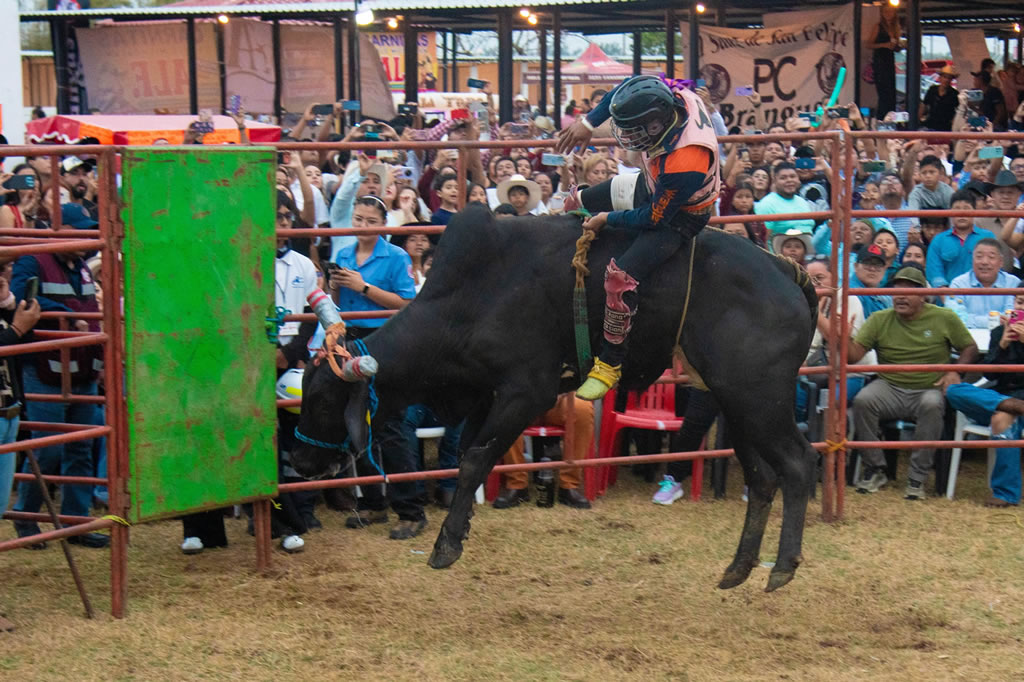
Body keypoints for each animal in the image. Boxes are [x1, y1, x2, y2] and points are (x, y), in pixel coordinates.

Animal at [293, 202, 819, 592]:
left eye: (322, 402)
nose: (300, 462)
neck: (472, 295)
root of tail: (783, 268)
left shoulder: (526, 389)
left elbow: (476, 457)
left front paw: (447, 545)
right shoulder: (486, 394)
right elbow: (468, 457)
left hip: (759, 398)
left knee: (797, 463)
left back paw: (782, 566)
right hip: (736, 403)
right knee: (763, 478)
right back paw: (739, 567)